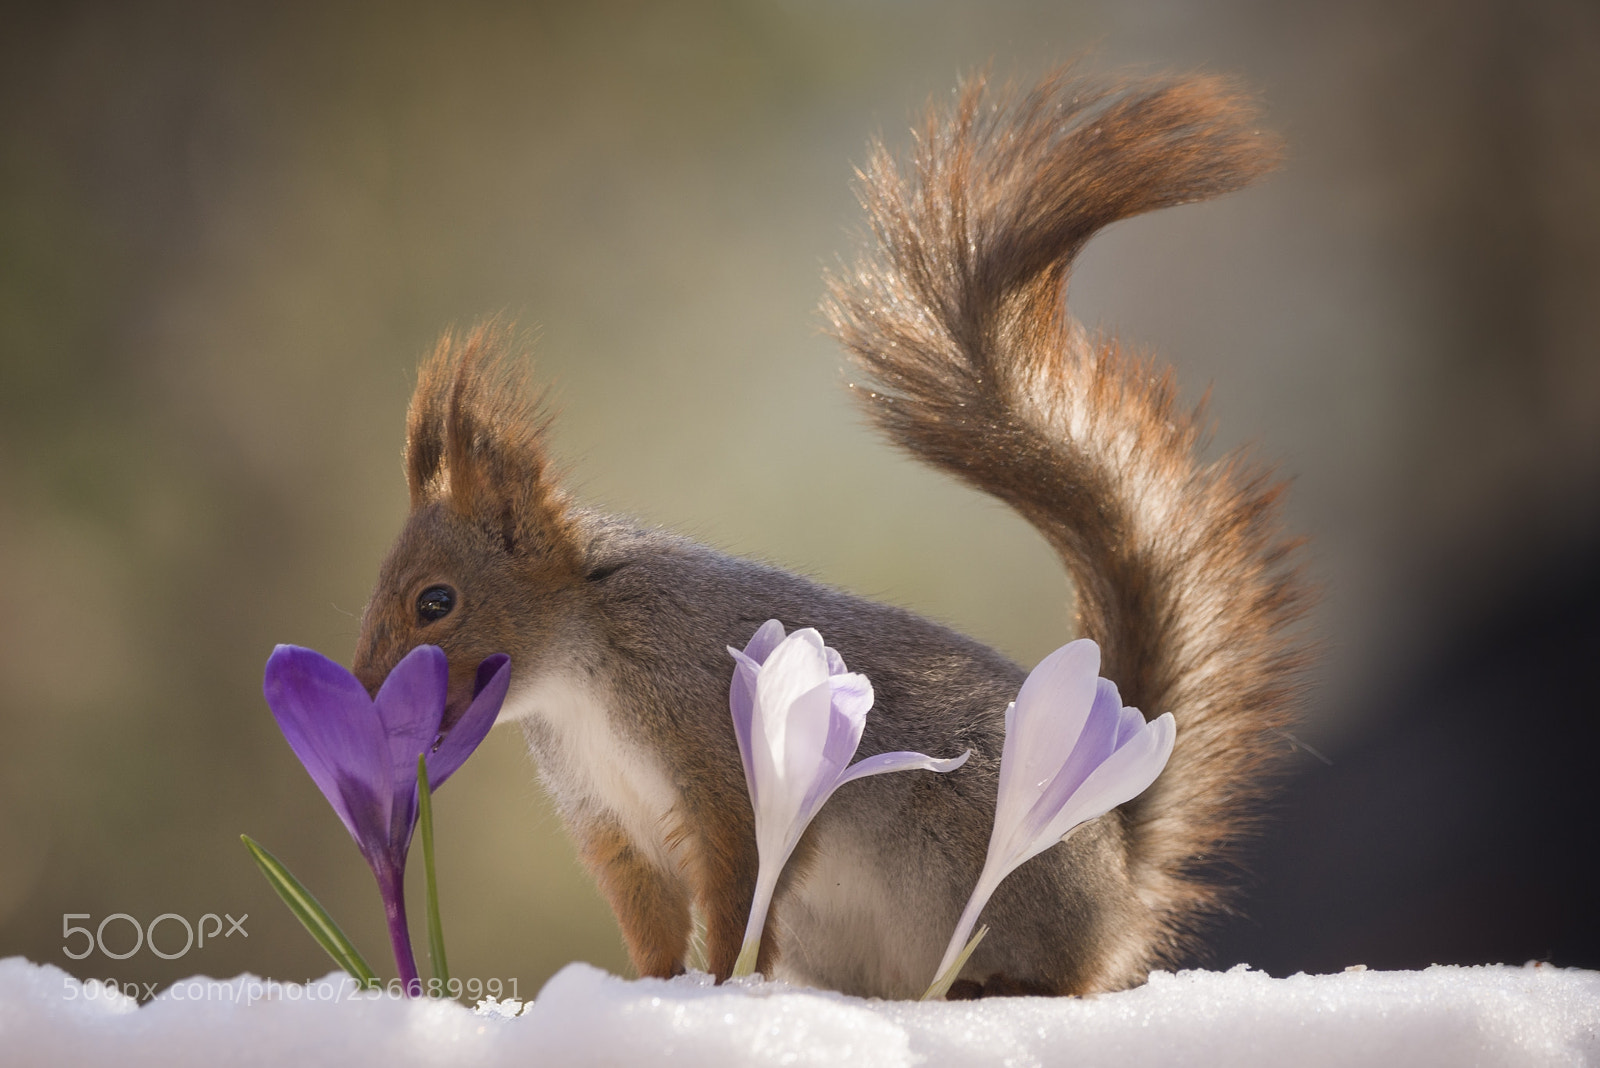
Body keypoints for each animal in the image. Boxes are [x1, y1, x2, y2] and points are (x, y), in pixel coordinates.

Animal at [351, 68, 1308, 999]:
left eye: (436, 602)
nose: (364, 693)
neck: (584, 659)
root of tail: (1121, 876)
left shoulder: (718, 755)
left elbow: (739, 888)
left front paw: (714, 989)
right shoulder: (607, 818)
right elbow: (649, 918)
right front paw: (647, 990)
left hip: (990, 865)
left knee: (1062, 973)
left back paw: (999, 984)